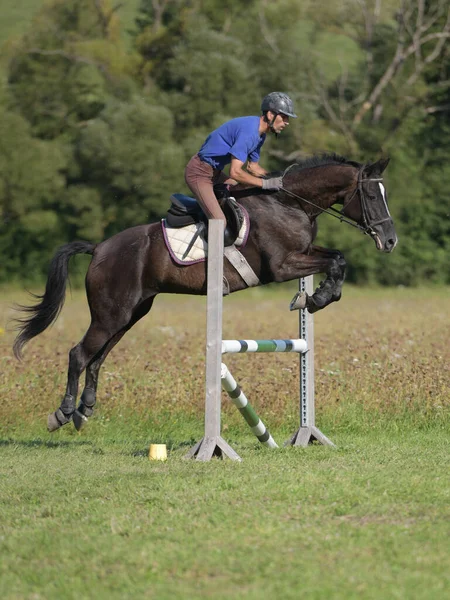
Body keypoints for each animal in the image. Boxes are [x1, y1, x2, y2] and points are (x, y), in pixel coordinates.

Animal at [12, 152, 396, 428]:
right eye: (370, 195)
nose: (390, 241)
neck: (290, 204)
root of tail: (99, 248)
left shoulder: (303, 254)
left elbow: (338, 258)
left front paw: (316, 297)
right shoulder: (283, 266)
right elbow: (334, 262)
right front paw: (316, 297)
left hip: (129, 314)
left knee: (98, 357)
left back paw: (84, 410)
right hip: (111, 314)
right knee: (79, 354)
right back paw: (62, 413)